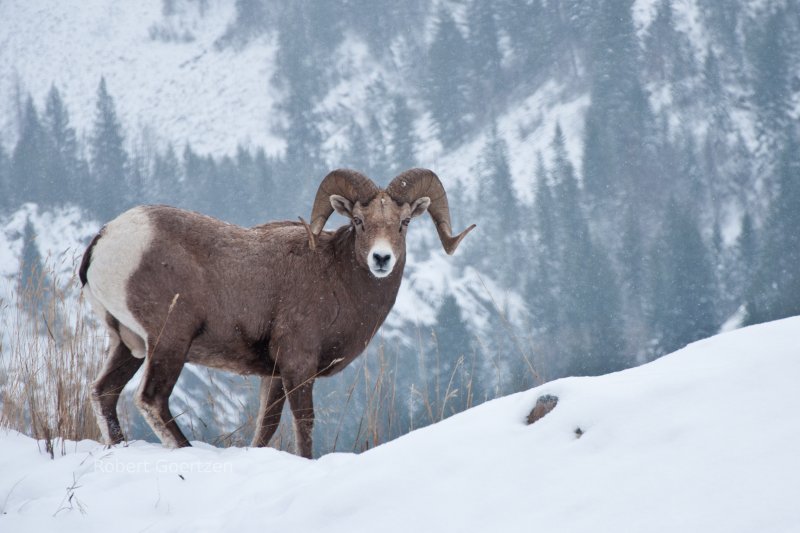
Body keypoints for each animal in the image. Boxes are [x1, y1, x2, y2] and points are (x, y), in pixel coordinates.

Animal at [79, 167, 476, 458]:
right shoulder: (298, 365)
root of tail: (107, 237)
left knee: (104, 393)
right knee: (151, 400)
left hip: (128, 345)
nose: (381, 259)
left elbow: (266, 427)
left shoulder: (272, 374)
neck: (337, 277)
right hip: (169, 341)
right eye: (359, 221)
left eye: (403, 223)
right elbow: (304, 422)